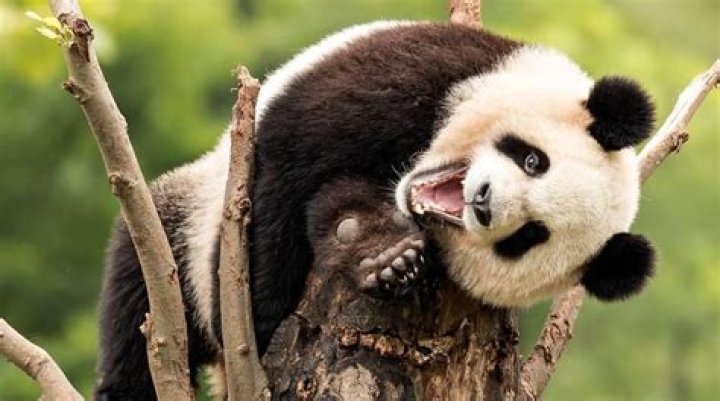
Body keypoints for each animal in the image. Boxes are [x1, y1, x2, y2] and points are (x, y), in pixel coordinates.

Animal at [95, 21, 656, 400]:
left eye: (529, 236)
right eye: (533, 160)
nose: (483, 201)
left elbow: (337, 205)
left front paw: (388, 258)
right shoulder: (425, 72)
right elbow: (286, 168)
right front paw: (266, 307)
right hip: (186, 212)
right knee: (139, 286)